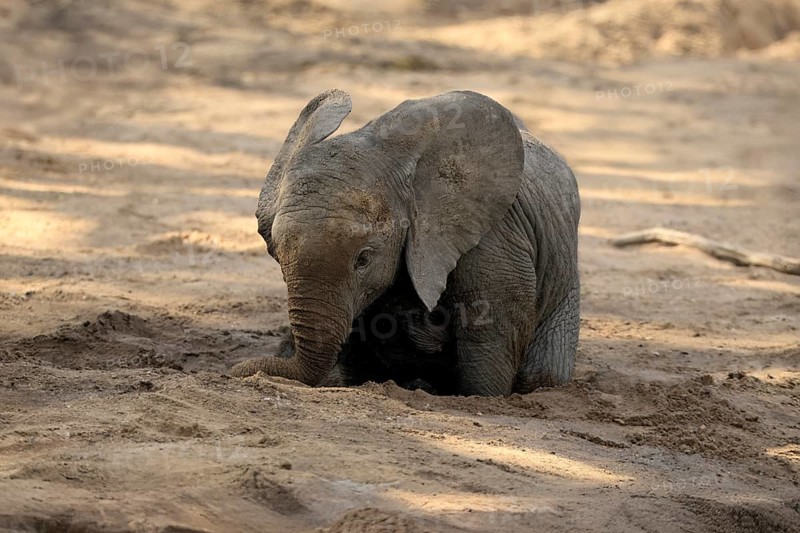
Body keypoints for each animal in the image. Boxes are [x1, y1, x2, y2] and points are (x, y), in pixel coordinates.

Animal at [230, 89, 581, 396]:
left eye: (363, 259)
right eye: (279, 259)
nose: (238, 370)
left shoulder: (494, 236)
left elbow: (489, 329)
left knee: (541, 373)